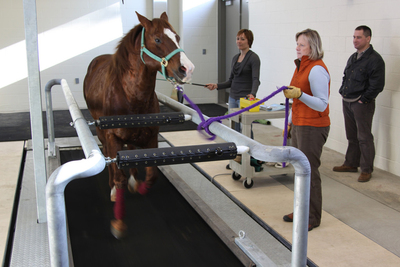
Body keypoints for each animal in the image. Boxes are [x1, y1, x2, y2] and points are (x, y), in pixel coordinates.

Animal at [84, 12, 194, 239]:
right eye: (158, 39)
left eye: (177, 37)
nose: (187, 69)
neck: (131, 95)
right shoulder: (112, 136)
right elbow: (118, 174)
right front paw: (118, 222)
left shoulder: (151, 135)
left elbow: (151, 175)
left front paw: (141, 185)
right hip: (102, 132)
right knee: (109, 156)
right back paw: (113, 189)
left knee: (130, 150)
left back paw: (134, 180)